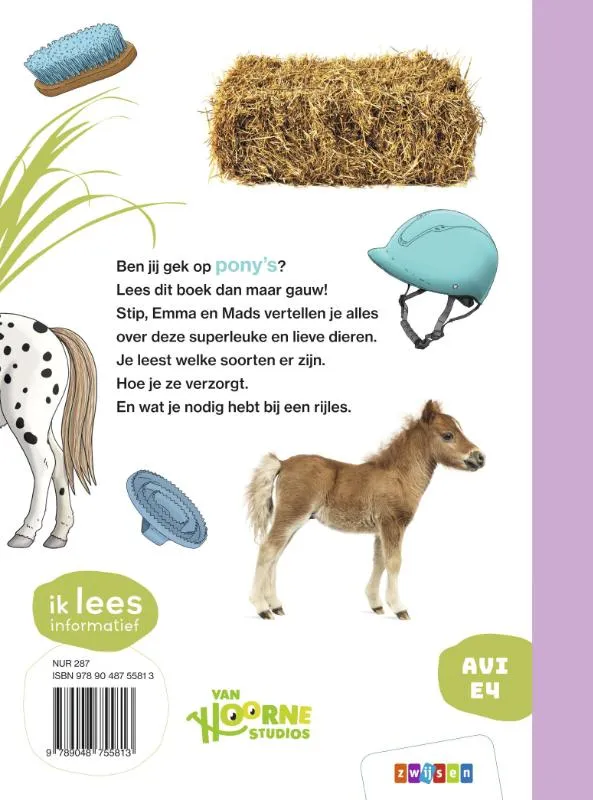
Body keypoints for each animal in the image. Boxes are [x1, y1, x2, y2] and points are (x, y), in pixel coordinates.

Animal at [0, 314, 97, 549]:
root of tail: (50, 331)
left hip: (24, 415)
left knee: (44, 463)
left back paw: (26, 532)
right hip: (41, 421)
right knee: (60, 460)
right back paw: (59, 533)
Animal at [247, 400, 485, 620]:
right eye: (448, 435)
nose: (480, 458)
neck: (398, 476)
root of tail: (283, 463)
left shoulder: (381, 529)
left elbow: (379, 561)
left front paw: (376, 604)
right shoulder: (392, 523)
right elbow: (394, 562)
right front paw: (399, 607)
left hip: (295, 521)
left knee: (276, 555)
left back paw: (276, 605)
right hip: (291, 515)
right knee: (268, 549)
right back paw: (262, 608)